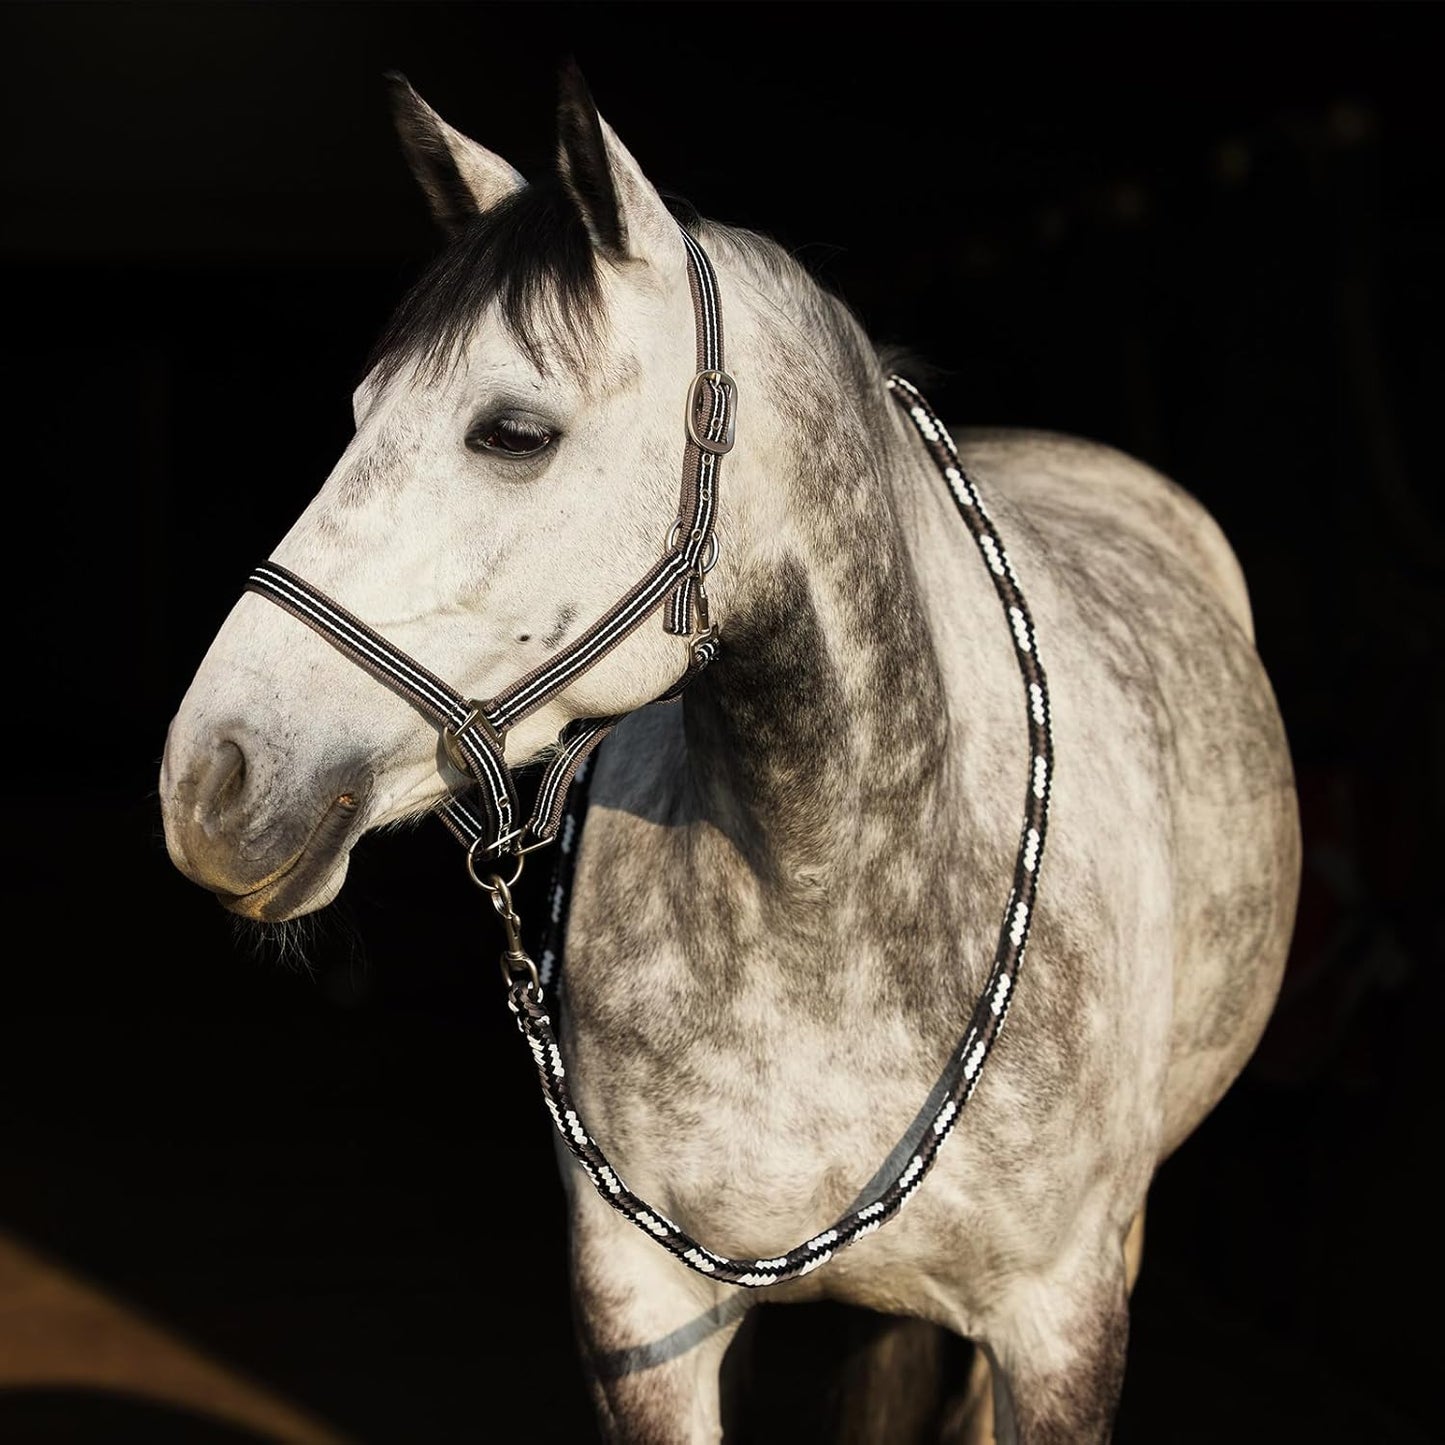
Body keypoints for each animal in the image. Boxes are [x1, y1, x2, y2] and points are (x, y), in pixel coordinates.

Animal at [158, 64, 1302, 1444]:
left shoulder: (1061, 1328)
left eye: (511, 432)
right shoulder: (643, 1311)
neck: (830, 894)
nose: (208, 779)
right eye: (359, 414)